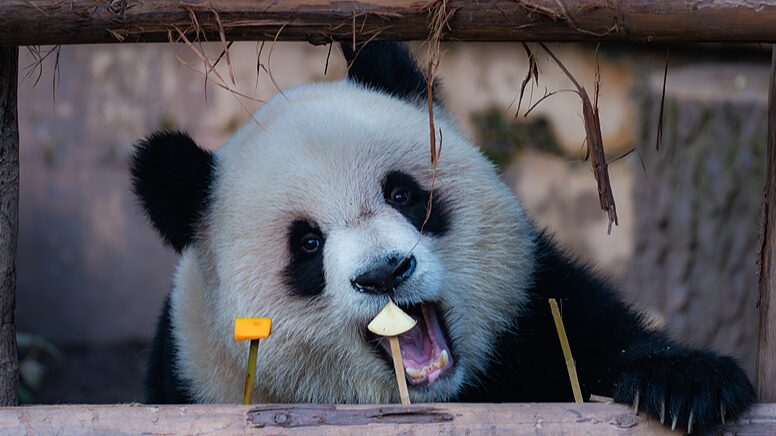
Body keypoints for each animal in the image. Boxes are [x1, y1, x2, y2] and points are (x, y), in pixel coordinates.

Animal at [131, 41, 754, 431]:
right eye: (307, 244)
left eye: (402, 194)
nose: (385, 272)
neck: (441, 397)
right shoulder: (193, 376)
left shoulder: (533, 303)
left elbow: (603, 336)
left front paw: (687, 387)